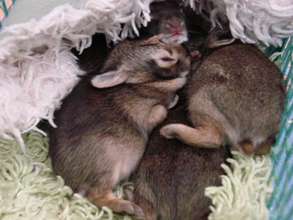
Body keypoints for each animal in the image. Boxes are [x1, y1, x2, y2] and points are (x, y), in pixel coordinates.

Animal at [49, 35, 190, 217]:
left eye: (158, 38)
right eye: (166, 59)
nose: (188, 53)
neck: (140, 82)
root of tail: (70, 182)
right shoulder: (147, 113)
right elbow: (160, 110)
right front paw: (173, 99)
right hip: (107, 164)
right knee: (96, 196)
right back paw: (128, 207)